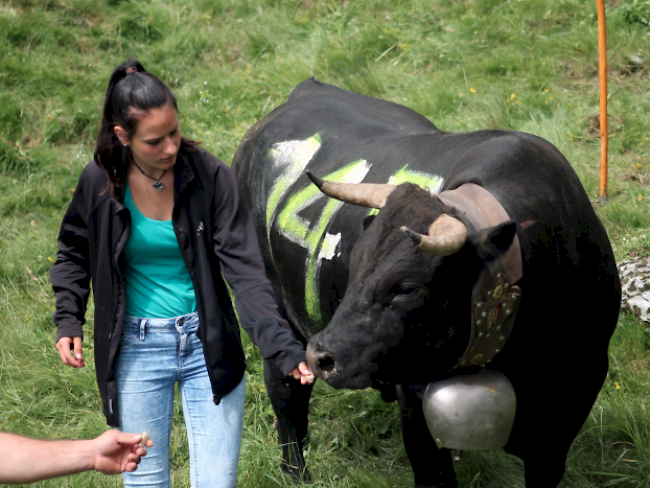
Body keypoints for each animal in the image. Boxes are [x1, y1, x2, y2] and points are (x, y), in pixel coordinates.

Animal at [232, 78, 616, 486]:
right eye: (355, 263)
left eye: (408, 287)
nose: (322, 356)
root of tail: (306, 91)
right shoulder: (416, 397)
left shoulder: (573, 400)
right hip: (271, 312)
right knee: (287, 400)